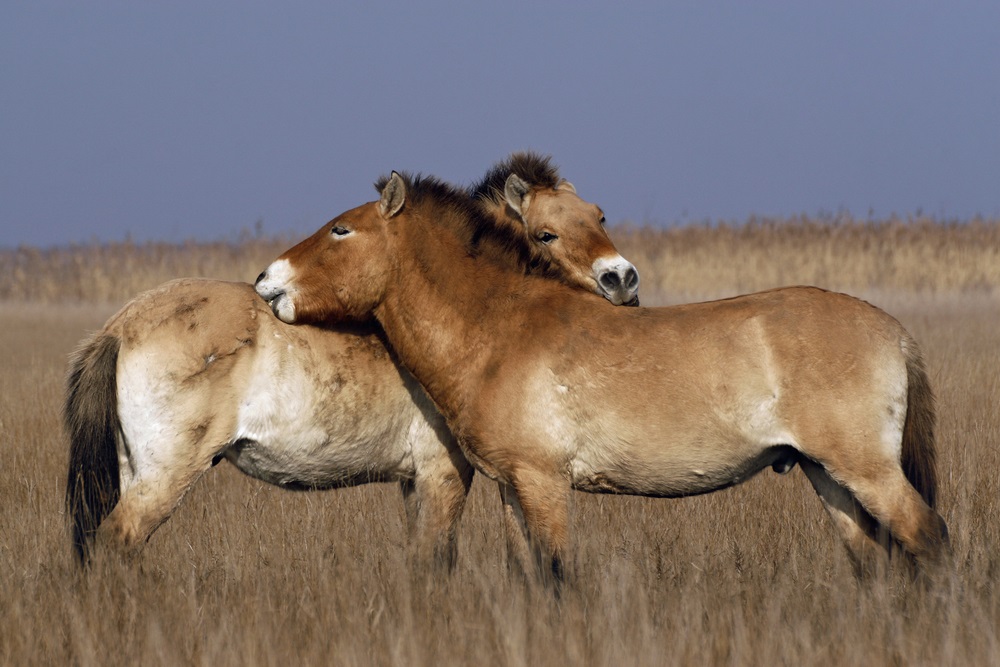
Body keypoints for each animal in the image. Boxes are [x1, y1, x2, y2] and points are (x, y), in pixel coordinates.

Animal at [64, 154, 640, 568]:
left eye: (600, 216)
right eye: (545, 234)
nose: (623, 280)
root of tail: (122, 324)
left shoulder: (419, 481)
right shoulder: (443, 474)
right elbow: (437, 560)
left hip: (134, 469)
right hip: (166, 475)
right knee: (116, 544)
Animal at [256, 172, 944, 584]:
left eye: (342, 229)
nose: (267, 281)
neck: (499, 328)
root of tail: (893, 329)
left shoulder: (545, 483)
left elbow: (558, 575)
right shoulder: (514, 488)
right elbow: (529, 577)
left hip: (866, 471)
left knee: (927, 537)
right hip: (828, 476)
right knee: (875, 561)